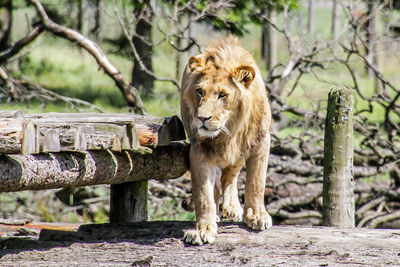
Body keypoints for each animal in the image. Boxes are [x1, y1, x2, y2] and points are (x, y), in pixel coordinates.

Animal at [180, 36, 272, 247]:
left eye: (222, 94)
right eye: (199, 91)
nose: (201, 118)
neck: (230, 128)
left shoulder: (260, 141)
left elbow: (256, 182)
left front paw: (256, 215)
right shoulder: (199, 149)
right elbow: (203, 194)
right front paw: (202, 229)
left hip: (239, 154)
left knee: (230, 177)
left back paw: (233, 208)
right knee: (216, 185)